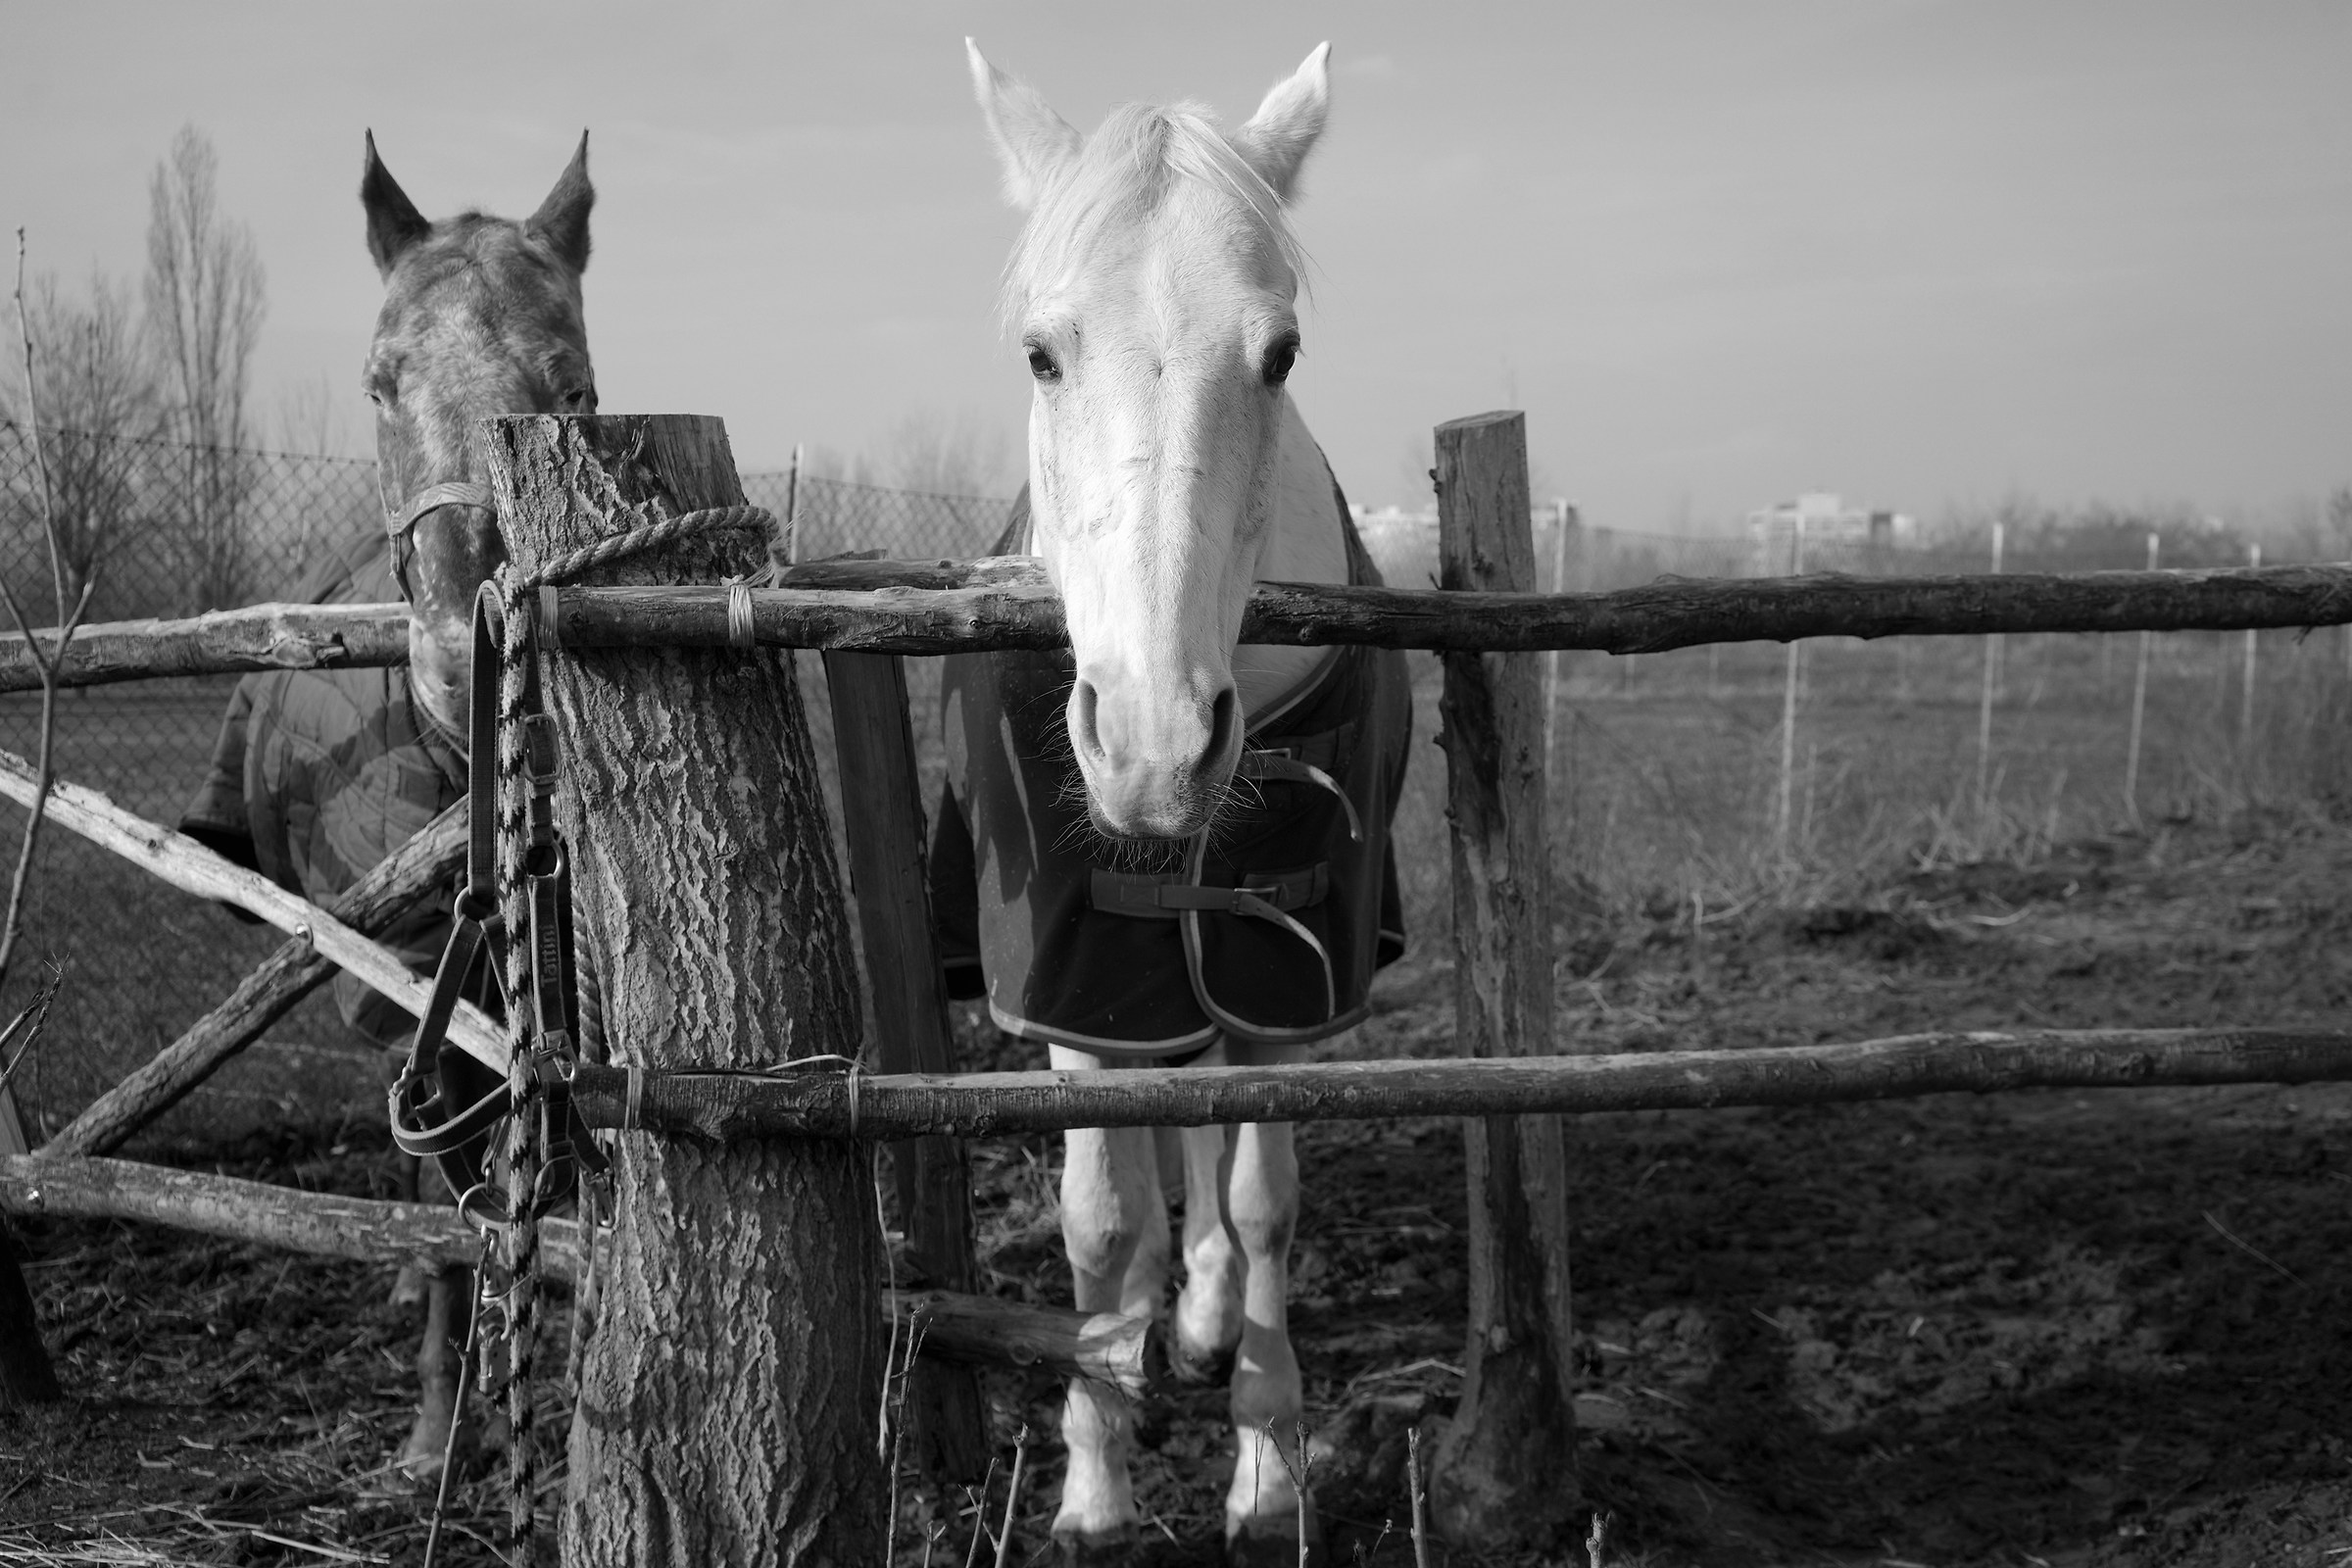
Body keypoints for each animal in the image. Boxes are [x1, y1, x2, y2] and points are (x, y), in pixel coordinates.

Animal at [179, 131, 596, 1482]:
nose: (461, 656)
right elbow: (445, 1205)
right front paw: (438, 1418)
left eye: (572, 388)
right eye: (376, 382)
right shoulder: (403, 988)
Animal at [934, 43, 1411, 1565]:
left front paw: (1266, 1470)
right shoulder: (1073, 974)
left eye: (1280, 356)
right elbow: (1095, 1218)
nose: (1150, 747)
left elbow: (1260, 1202)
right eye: (1042, 352)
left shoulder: (1282, 966)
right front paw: (1094, 1484)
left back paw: (1196, 1322)